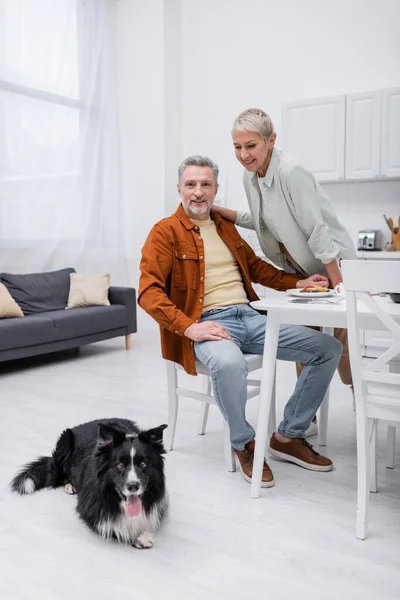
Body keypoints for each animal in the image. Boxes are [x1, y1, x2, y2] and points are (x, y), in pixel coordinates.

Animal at [10, 418, 167, 548]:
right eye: (120, 465)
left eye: (143, 464)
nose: (133, 486)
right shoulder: (89, 509)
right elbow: (112, 526)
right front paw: (139, 537)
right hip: (64, 442)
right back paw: (69, 485)